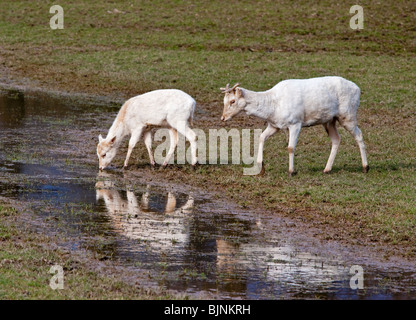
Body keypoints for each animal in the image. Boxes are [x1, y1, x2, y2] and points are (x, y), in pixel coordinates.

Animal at [219, 77, 368, 176]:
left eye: (233, 101)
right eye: (224, 101)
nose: (223, 118)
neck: (273, 107)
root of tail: (358, 89)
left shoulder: (295, 122)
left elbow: (290, 147)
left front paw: (291, 171)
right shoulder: (274, 125)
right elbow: (261, 137)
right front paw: (261, 167)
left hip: (347, 115)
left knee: (359, 135)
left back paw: (365, 167)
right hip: (329, 120)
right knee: (336, 139)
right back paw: (327, 169)